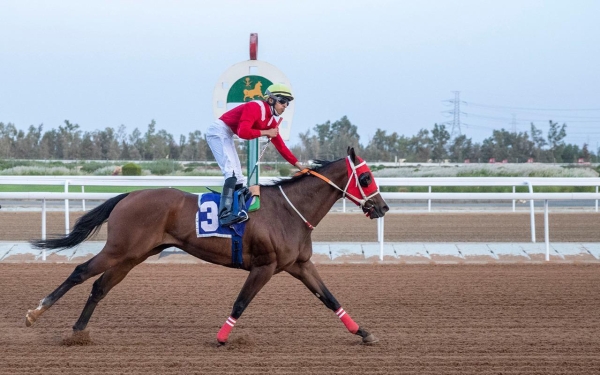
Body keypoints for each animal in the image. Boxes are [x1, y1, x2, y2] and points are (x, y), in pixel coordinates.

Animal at [24, 148, 390, 346]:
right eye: (366, 178)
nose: (382, 207)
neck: (290, 210)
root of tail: (129, 194)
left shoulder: (299, 265)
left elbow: (329, 298)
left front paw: (364, 333)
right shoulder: (265, 266)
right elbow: (241, 302)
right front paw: (222, 338)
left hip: (134, 255)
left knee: (100, 286)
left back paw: (78, 331)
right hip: (119, 249)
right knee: (80, 271)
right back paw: (35, 313)